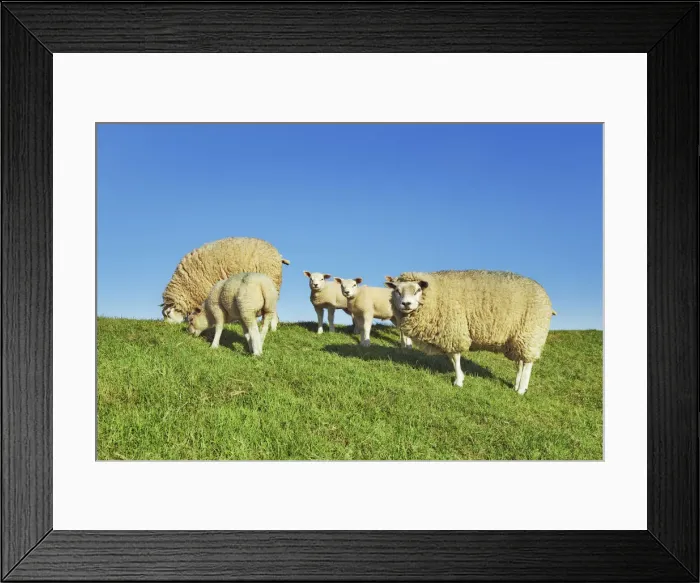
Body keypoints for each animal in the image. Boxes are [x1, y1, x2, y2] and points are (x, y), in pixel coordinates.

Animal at [385, 270, 555, 394]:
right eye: (397, 291)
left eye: (418, 290)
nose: (406, 304)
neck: (435, 295)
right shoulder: (447, 334)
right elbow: (451, 357)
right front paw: (460, 377)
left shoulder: (453, 330)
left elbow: (455, 357)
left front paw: (458, 381)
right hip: (518, 338)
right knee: (521, 362)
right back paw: (517, 384)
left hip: (531, 333)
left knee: (527, 363)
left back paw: (521, 390)